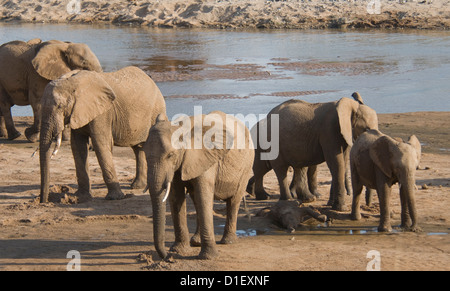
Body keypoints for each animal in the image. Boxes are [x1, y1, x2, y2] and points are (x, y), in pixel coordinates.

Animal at [39, 66, 166, 203]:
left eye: (60, 106)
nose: (44, 201)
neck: (73, 82)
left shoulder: (103, 113)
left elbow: (100, 145)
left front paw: (114, 198)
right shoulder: (79, 112)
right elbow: (78, 147)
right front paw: (81, 197)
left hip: (156, 111)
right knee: (138, 148)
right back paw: (137, 186)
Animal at [146, 111, 255, 260]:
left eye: (170, 155)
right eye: (145, 155)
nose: (167, 257)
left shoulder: (205, 158)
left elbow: (204, 195)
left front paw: (209, 257)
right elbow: (176, 197)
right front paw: (178, 250)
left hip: (246, 165)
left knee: (234, 200)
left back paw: (228, 241)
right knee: (196, 199)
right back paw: (196, 242)